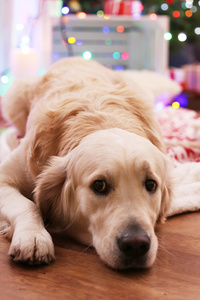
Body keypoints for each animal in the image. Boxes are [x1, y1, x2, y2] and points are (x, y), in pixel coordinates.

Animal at [0, 56, 173, 270]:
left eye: (151, 185)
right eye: (99, 186)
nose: (136, 244)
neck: (101, 118)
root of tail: (77, 57)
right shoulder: (6, 176)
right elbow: (28, 205)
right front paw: (32, 237)